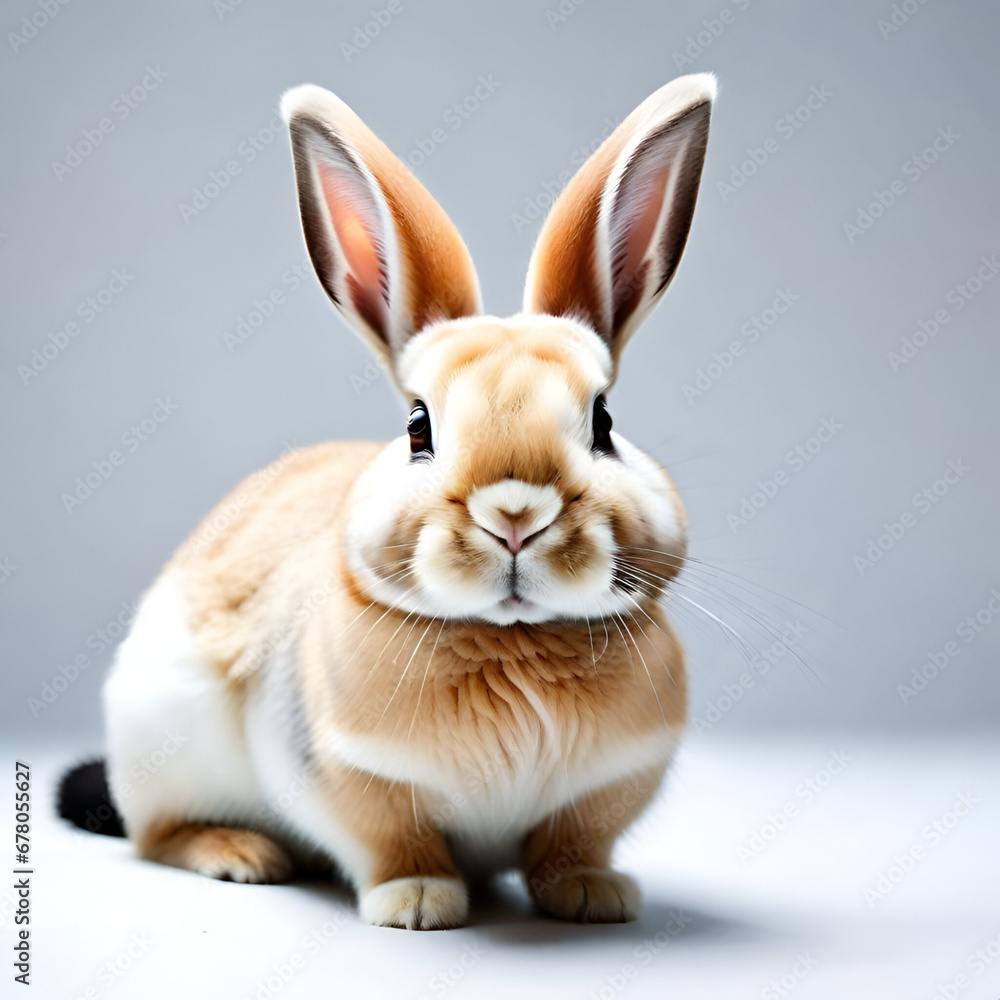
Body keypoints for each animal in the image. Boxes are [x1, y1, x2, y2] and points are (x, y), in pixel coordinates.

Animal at [68, 73, 715, 930]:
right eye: (418, 427)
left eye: (604, 422)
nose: (515, 514)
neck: (514, 641)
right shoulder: (352, 779)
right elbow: (393, 842)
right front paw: (417, 904)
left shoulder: (607, 790)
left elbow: (572, 843)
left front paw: (592, 896)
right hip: (161, 747)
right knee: (156, 836)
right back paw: (240, 855)